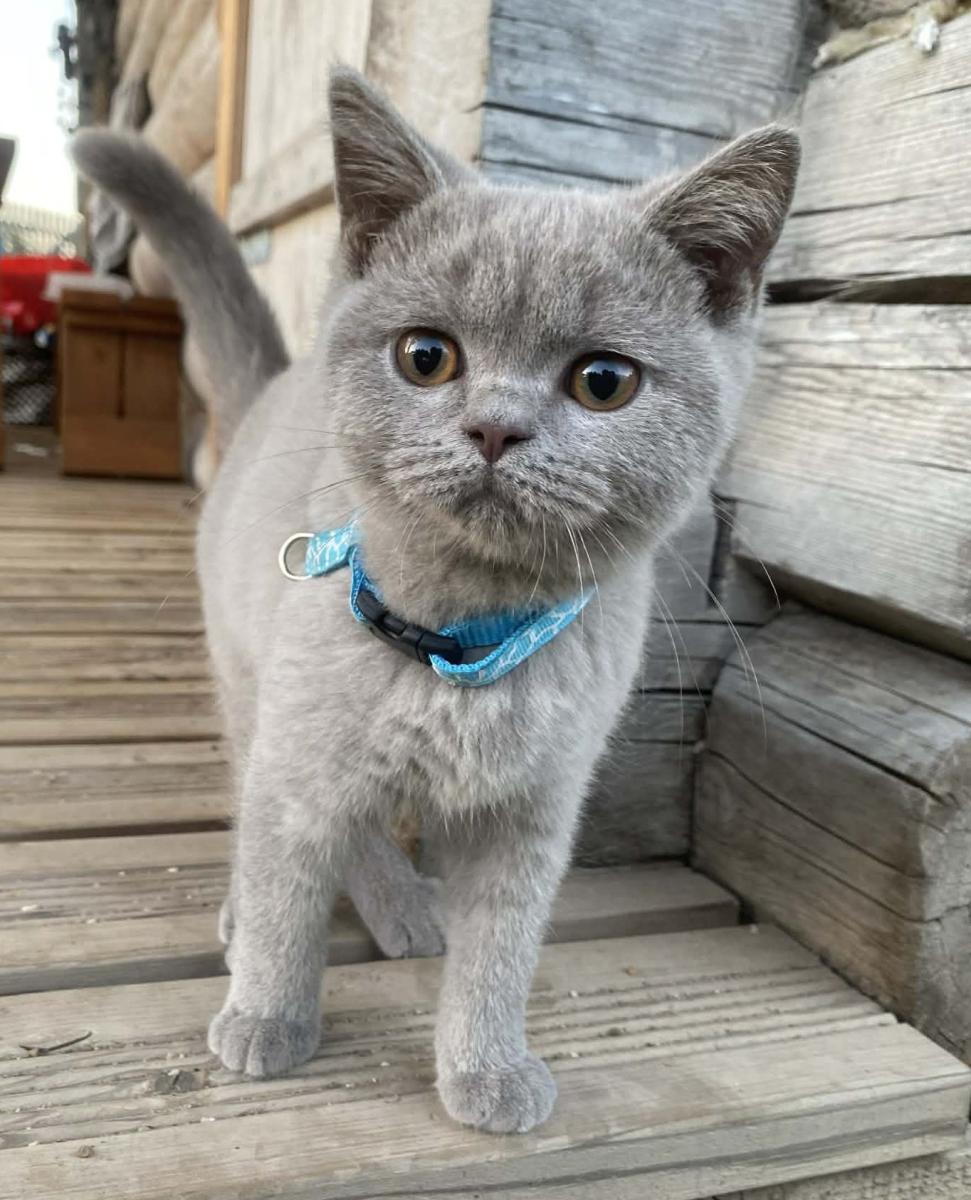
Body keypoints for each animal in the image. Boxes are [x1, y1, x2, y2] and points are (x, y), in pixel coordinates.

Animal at [72, 67, 798, 1135]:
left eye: (603, 381)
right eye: (427, 356)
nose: (495, 426)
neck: (463, 639)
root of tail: (266, 398)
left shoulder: (535, 805)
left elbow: (501, 945)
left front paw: (486, 1066)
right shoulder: (301, 746)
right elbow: (288, 883)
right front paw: (267, 1014)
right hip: (251, 677)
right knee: (275, 811)